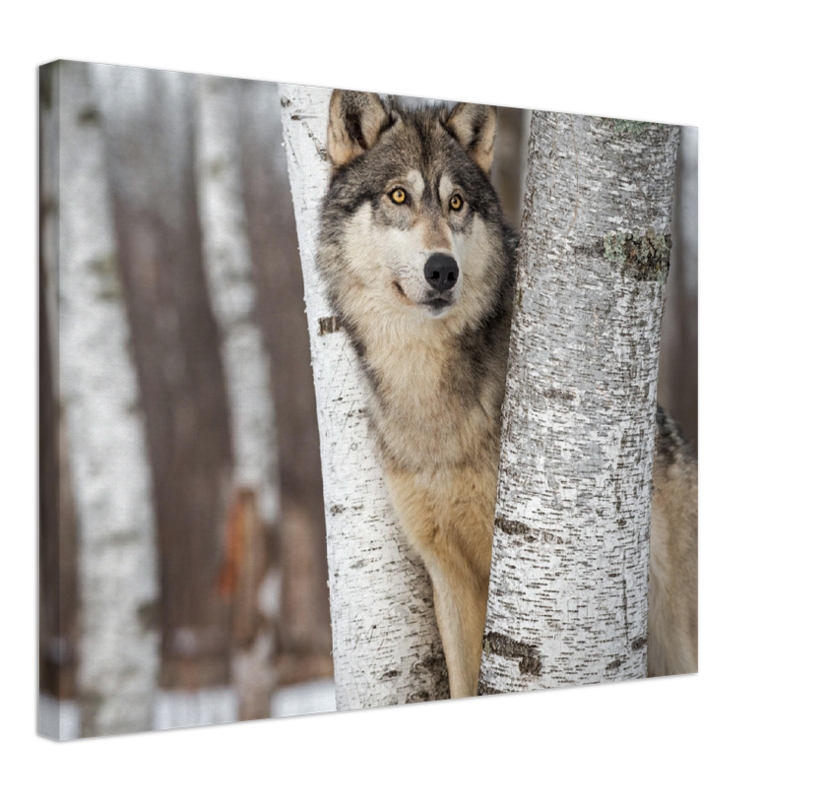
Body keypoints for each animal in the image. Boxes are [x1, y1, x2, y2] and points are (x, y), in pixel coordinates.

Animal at [317, 90, 698, 698]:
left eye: (456, 203)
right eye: (399, 195)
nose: (442, 270)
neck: (428, 391)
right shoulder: (447, 571)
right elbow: (461, 676)